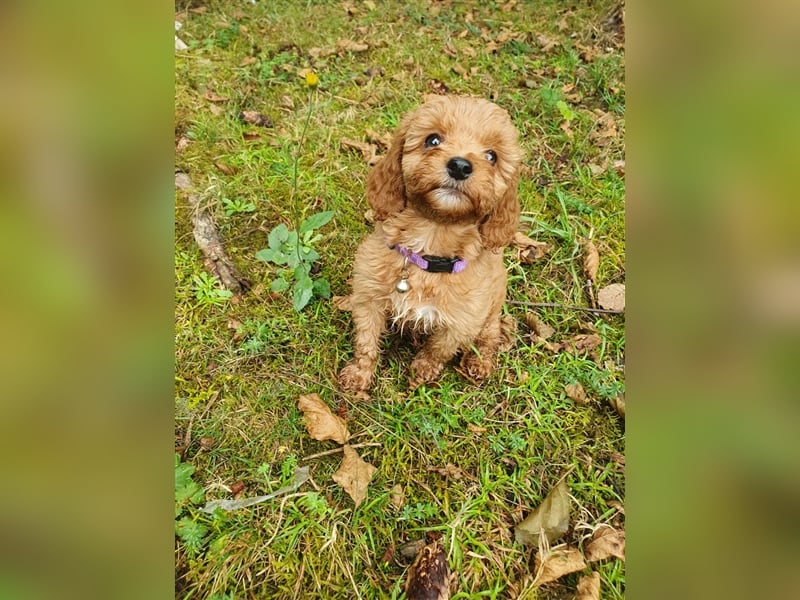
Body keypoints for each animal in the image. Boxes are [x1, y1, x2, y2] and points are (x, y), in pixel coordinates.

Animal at [340, 95, 520, 394]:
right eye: (432, 140)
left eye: (492, 156)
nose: (460, 166)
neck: (432, 236)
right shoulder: (370, 297)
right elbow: (366, 340)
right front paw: (359, 375)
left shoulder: (463, 320)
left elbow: (439, 348)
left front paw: (422, 371)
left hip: (491, 309)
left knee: (490, 335)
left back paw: (479, 363)